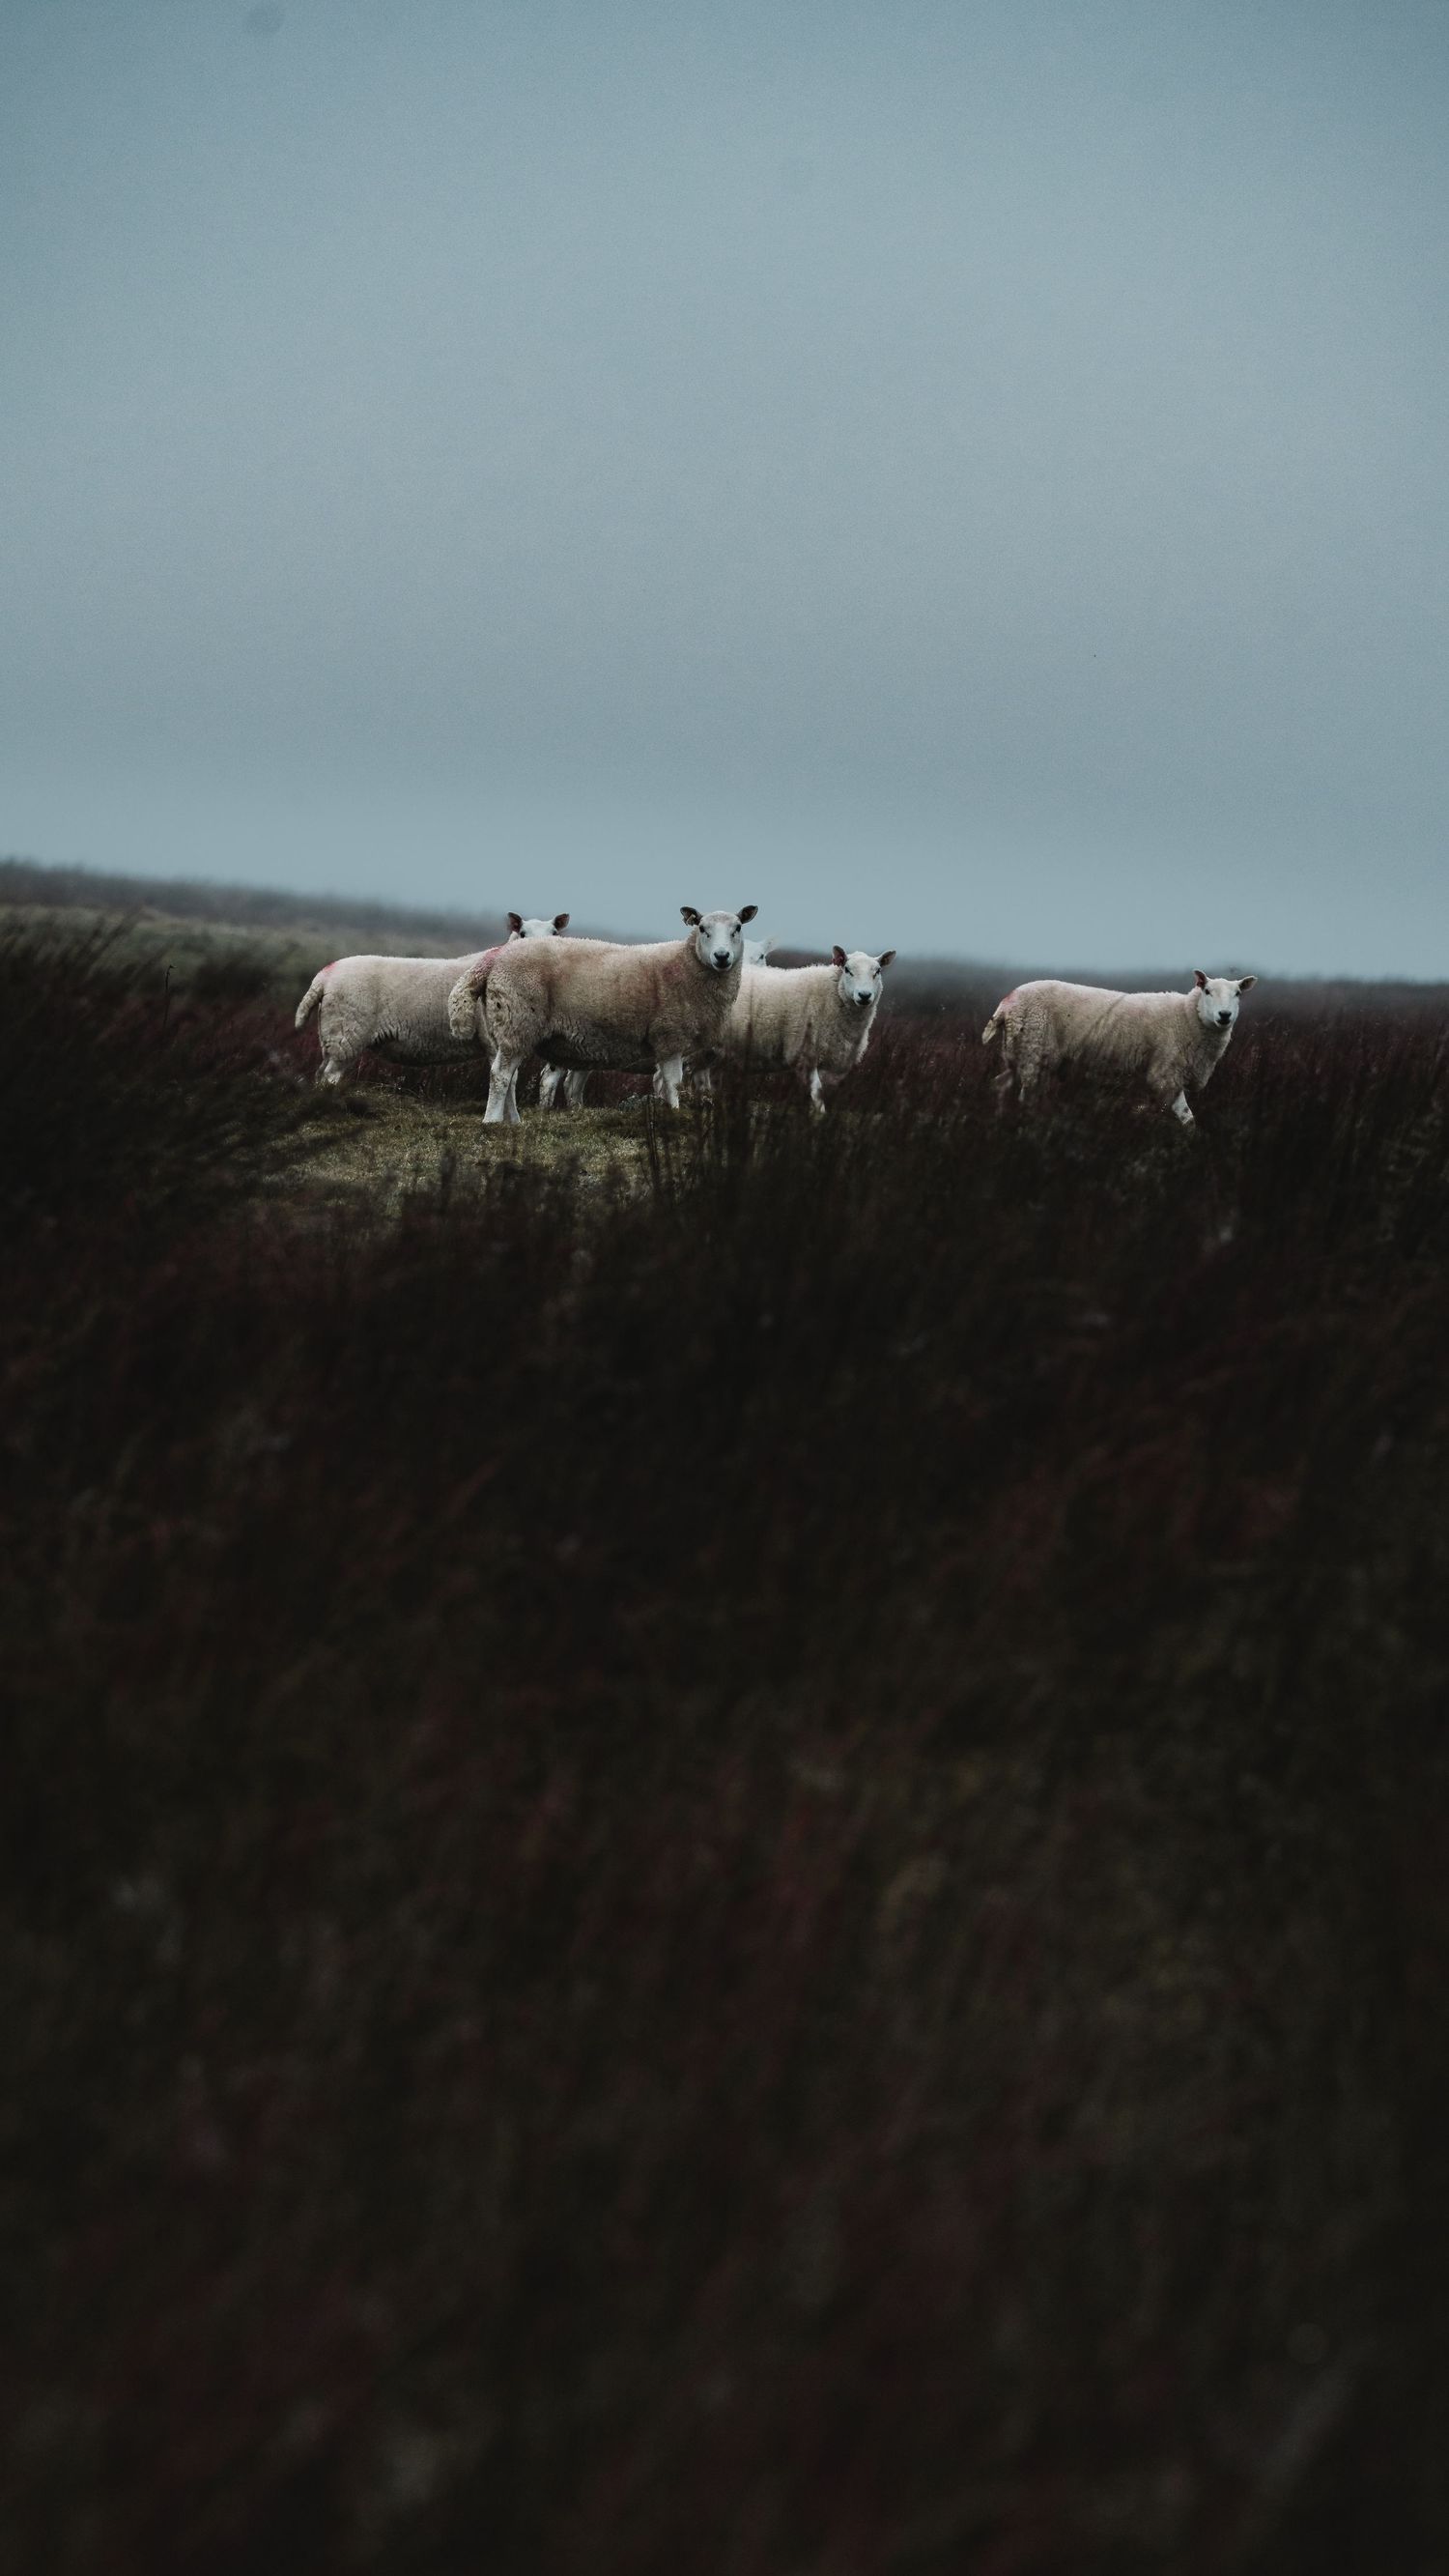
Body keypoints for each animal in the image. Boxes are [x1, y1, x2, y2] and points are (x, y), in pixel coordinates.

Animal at [294, 913, 569, 1086]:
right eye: (522, 933)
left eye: (555, 933)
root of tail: (323, 977)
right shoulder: (493, 1039)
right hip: (347, 1034)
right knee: (330, 1076)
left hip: (331, 1036)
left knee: (320, 1073)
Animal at [449, 905, 758, 1126]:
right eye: (703, 928)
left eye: (738, 928)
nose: (722, 956)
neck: (687, 965)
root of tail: (494, 959)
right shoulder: (670, 1037)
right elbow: (673, 1083)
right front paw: (674, 1114)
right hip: (518, 1019)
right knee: (501, 1075)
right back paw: (492, 1122)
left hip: (511, 1028)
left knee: (510, 1076)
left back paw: (513, 1121)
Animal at [717, 945, 896, 1114]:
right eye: (847, 969)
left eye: (878, 971)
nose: (864, 996)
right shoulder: (805, 1054)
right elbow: (817, 1093)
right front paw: (818, 1118)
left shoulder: (830, 1064)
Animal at [981, 971, 1257, 1126]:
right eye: (1207, 991)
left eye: (1238, 994)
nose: (1224, 1015)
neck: (1188, 1017)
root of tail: (1007, 1004)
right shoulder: (1166, 1073)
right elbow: (1183, 1115)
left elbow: (1182, 1118)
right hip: (1033, 1049)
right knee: (1025, 1096)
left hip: (1018, 1052)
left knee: (1000, 1084)